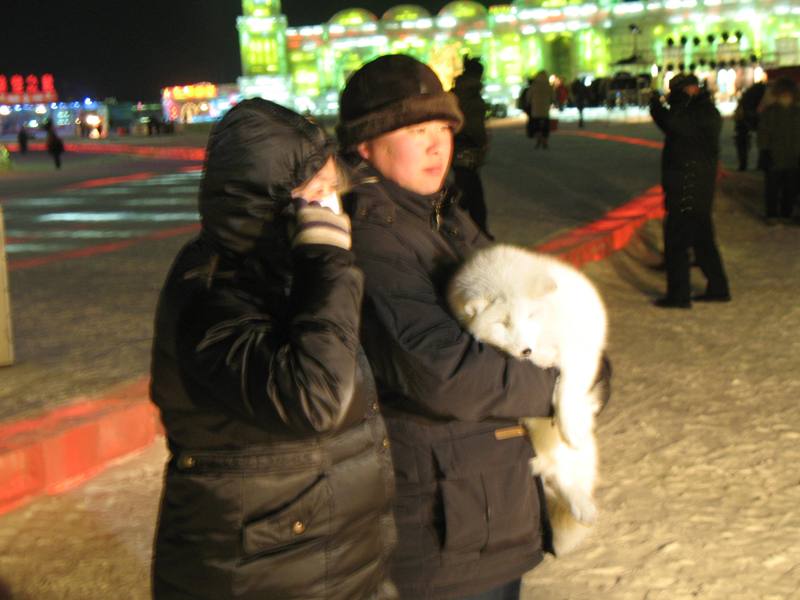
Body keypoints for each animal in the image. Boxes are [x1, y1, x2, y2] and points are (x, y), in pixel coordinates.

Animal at [446, 244, 608, 556]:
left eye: (532, 315)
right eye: (503, 322)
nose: (526, 351)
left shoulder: (580, 348)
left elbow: (568, 387)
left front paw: (570, 425)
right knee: (559, 477)